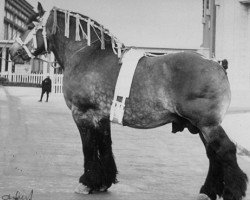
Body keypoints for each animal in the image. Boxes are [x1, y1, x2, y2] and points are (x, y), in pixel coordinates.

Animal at [8, 3, 247, 200]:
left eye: (29, 25)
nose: (12, 52)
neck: (87, 54)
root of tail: (217, 63)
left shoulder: (82, 113)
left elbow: (88, 147)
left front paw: (86, 183)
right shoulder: (100, 116)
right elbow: (104, 145)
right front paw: (102, 183)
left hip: (207, 124)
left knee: (225, 150)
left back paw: (232, 191)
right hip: (201, 125)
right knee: (213, 154)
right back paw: (208, 191)